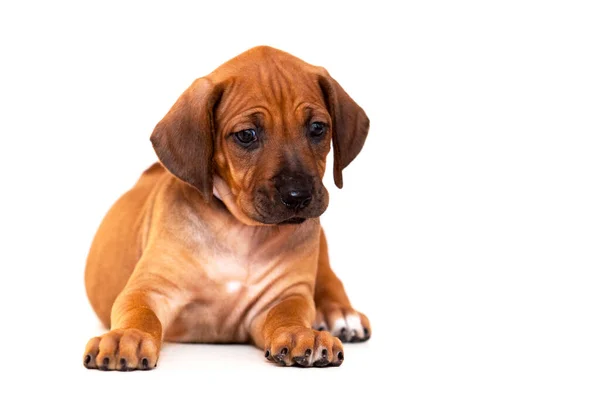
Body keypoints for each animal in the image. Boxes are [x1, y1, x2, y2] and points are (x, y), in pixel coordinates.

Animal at [83, 45, 370, 370]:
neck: (240, 231)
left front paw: (300, 333)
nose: (298, 196)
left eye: (318, 128)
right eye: (246, 135)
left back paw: (340, 314)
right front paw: (126, 336)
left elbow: (288, 313)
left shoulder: (283, 296)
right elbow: (139, 312)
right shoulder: (150, 288)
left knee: (330, 280)